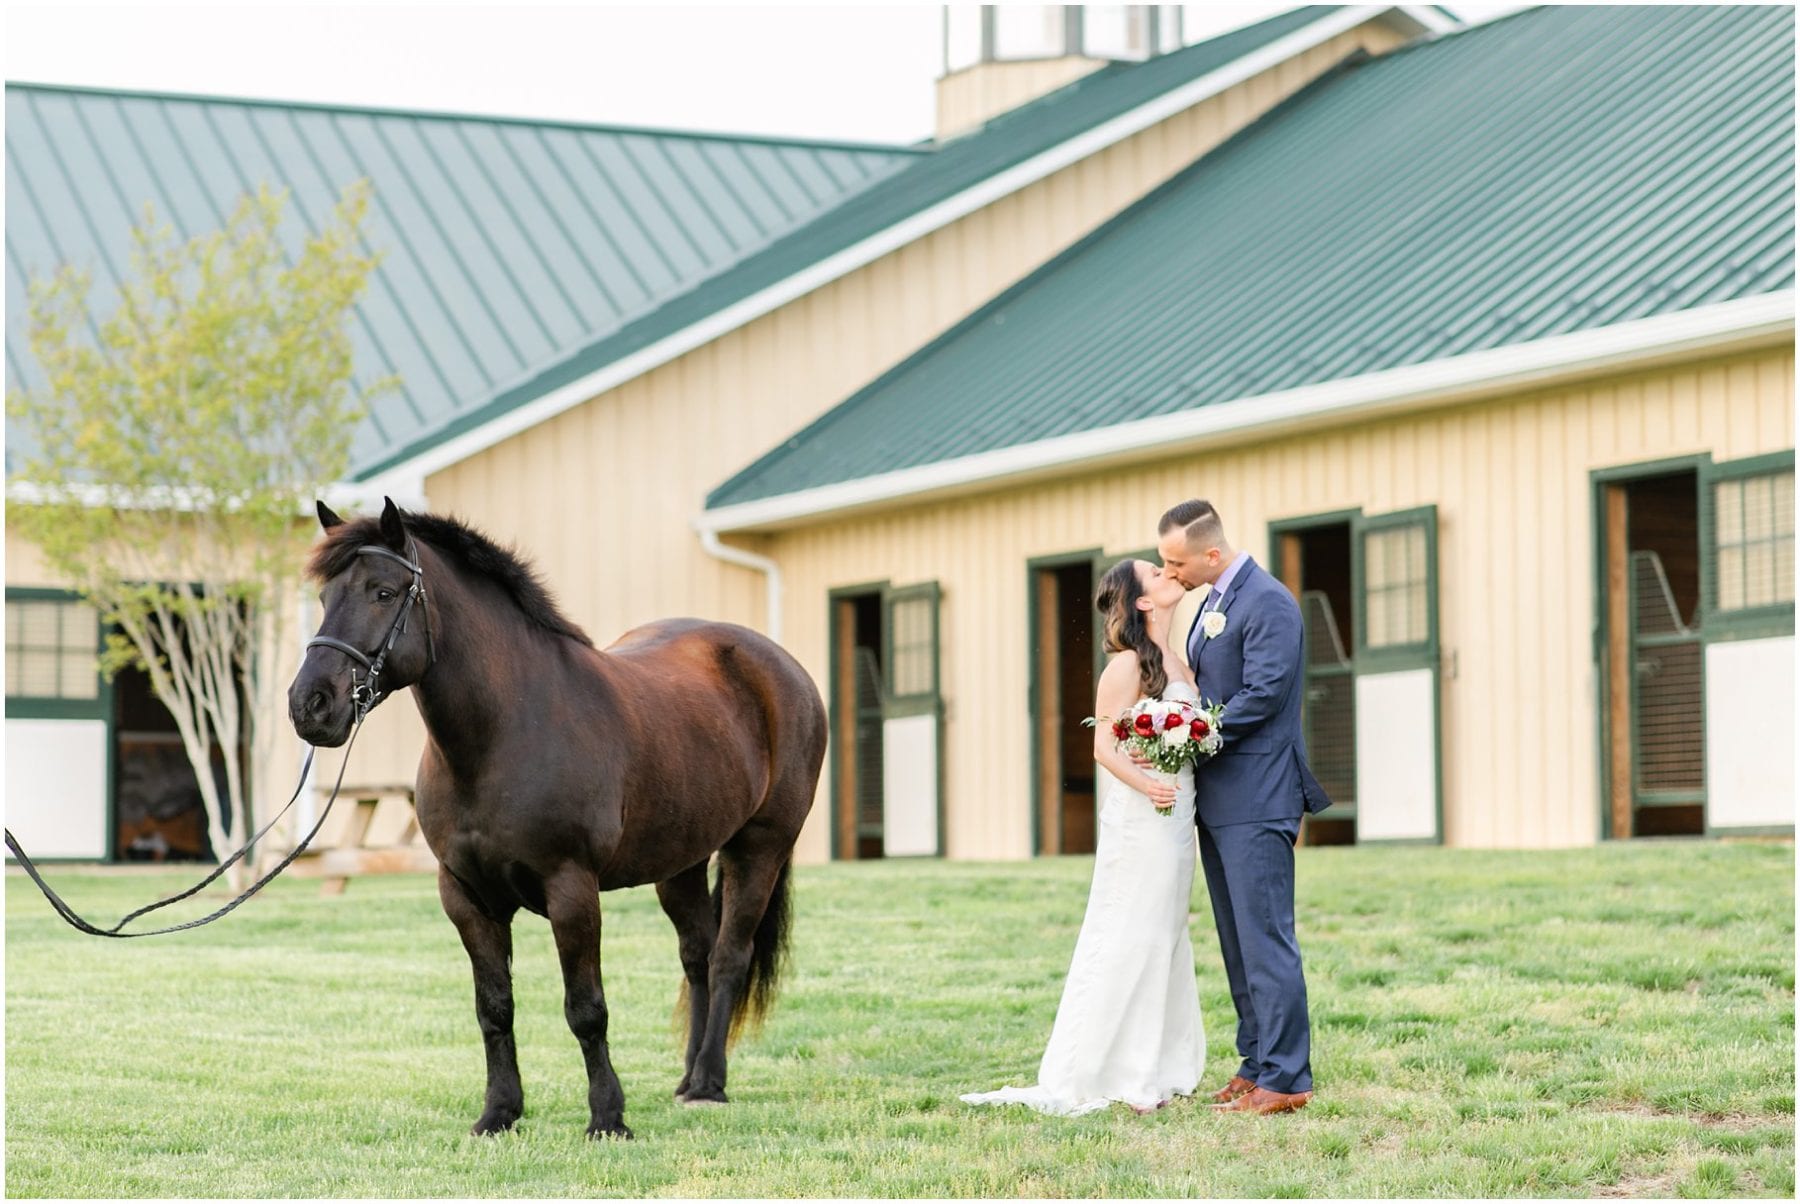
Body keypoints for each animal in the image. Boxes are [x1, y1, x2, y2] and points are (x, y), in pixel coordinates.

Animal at [288, 496, 828, 1137]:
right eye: (325, 598)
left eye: (384, 592)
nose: (309, 706)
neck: (506, 732)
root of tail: (780, 666)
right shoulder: (465, 896)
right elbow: (494, 1008)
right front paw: (499, 1113)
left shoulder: (571, 889)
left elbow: (586, 1009)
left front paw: (608, 1118)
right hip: (681, 861)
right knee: (697, 955)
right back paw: (688, 1079)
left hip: (759, 848)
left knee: (728, 957)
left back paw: (709, 1086)